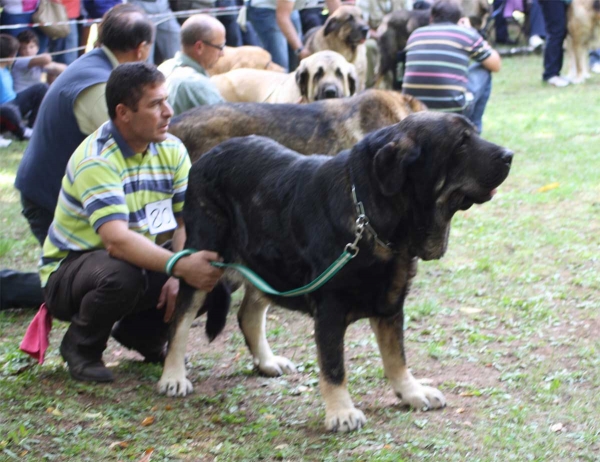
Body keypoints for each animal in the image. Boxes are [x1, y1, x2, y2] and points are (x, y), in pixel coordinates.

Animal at [157, 112, 512, 434]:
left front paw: (411, 392)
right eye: (462, 143)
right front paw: (341, 412)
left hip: (269, 267)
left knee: (249, 313)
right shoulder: (330, 309)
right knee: (180, 320)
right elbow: (334, 365)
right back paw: (173, 376)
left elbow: (397, 357)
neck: (369, 214)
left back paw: (267, 361)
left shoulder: (391, 305)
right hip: (203, 261)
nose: (510, 155)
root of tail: (206, 157)